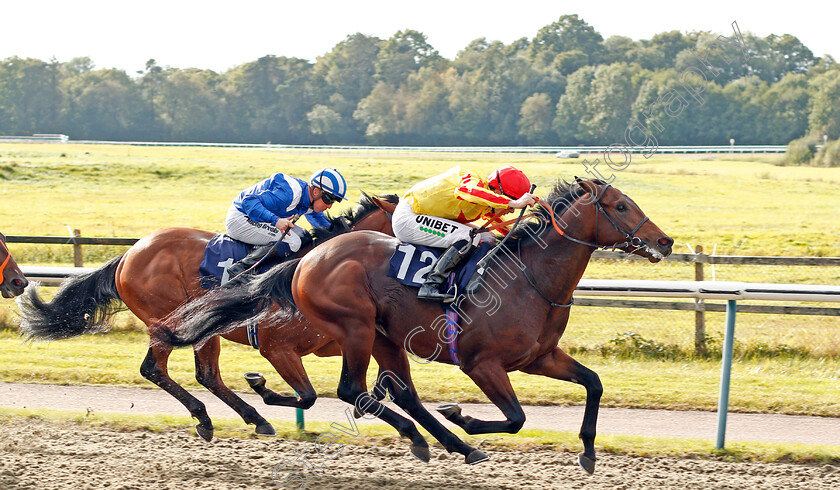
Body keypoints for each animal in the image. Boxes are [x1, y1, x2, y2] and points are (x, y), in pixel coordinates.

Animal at [16, 193, 398, 438]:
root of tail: (128, 254)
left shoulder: (343, 339)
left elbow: (381, 376)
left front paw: (373, 398)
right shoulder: (277, 347)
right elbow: (308, 395)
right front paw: (262, 387)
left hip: (201, 331)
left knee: (207, 375)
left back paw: (252, 418)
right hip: (168, 320)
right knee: (155, 369)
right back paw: (209, 417)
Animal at [156, 180, 676, 470]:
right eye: (622, 206)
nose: (665, 241)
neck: (529, 278)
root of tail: (305, 259)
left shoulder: (538, 357)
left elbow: (593, 383)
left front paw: (587, 453)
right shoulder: (481, 364)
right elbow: (516, 418)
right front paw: (463, 416)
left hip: (385, 336)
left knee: (399, 393)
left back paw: (444, 444)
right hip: (358, 328)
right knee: (352, 390)